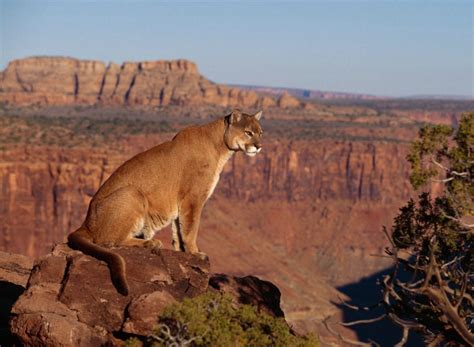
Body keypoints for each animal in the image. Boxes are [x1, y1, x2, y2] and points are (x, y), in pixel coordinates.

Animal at [67, 110, 262, 294]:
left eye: (260, 133)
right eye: (248, 132)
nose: (259, 146)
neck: (219, 145)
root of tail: (86, 222)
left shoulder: (180, 204)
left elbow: (178, 232)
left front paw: (182, 253)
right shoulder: (193, 199)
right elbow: (191, 229)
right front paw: (196, 253)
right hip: (132, 193)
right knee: (109, 241)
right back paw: (150, 243)